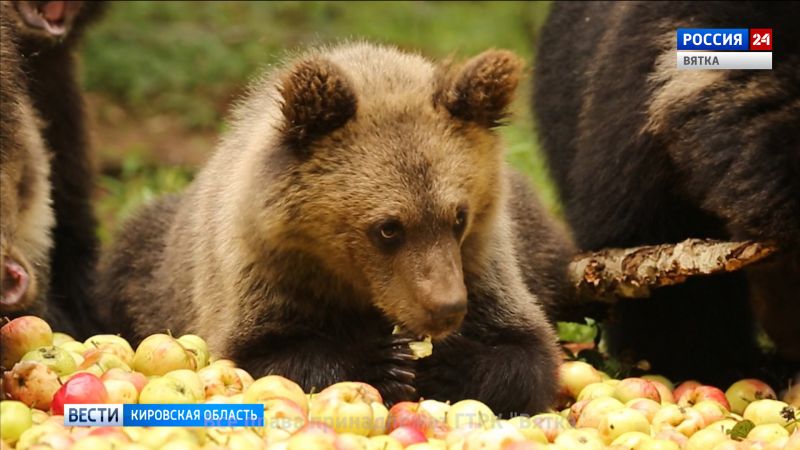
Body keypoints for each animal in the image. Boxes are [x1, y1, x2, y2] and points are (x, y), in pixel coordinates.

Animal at [98, 43, 576, 414]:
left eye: (458, 216)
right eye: (388, 228)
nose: (447, 308)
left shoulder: (484, 263)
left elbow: (526, 350)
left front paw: (446, 361)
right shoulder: (262, 274)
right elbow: (265, 353)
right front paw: (384, 362)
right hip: (152, 265)